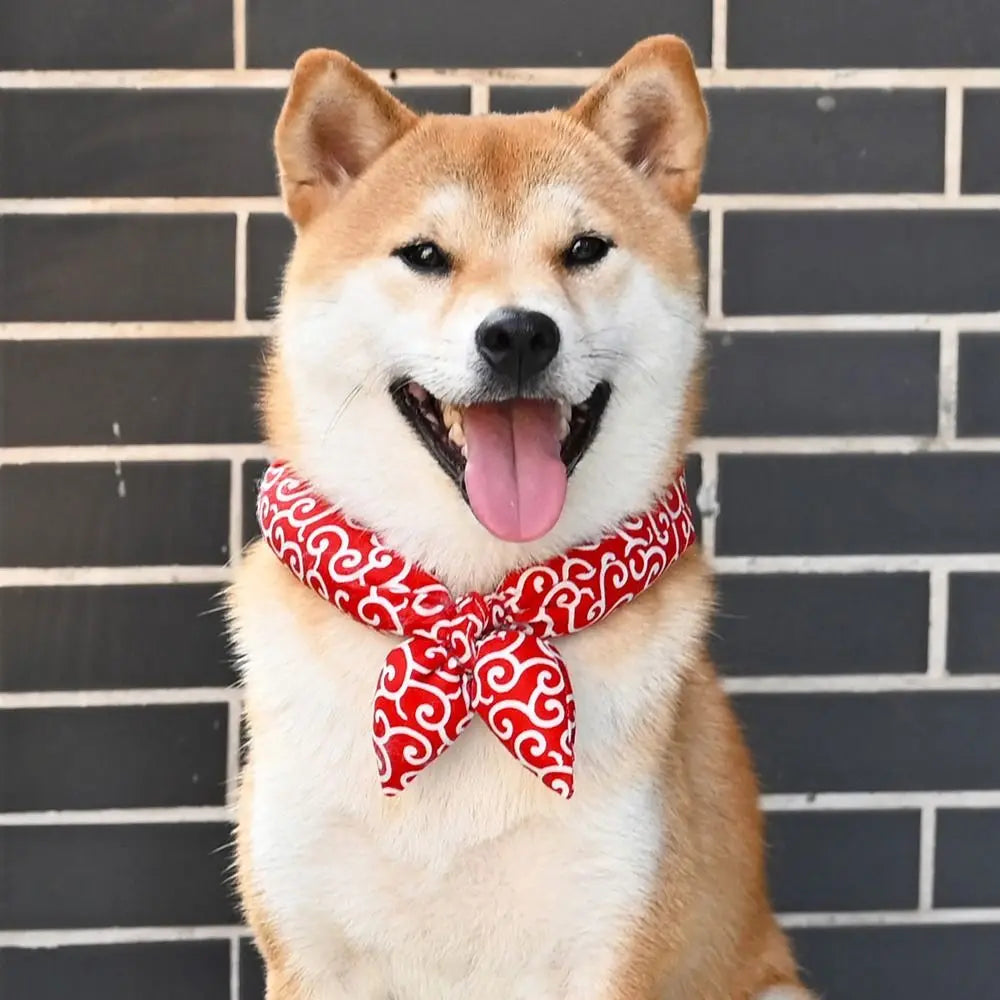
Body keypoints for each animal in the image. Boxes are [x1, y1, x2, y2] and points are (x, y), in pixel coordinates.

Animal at [230, 35, 816, 996]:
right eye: (424, 254)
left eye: (585, 248)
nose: (517, 334)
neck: (476, 613)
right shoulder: (310, 956)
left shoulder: (611, 941)